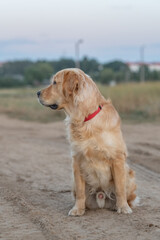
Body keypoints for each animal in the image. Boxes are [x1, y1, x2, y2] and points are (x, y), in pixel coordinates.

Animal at [37, 68, 139, 217]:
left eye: (55, 82)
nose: (37, 93)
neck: (85, 118)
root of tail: (101, 197)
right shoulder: (77, 160)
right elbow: (80, 192)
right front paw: (77, 209)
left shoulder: (117, 158)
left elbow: (120, 189)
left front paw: (123, 207)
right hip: (73, 181)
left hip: (129, 174)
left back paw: (118, 205)